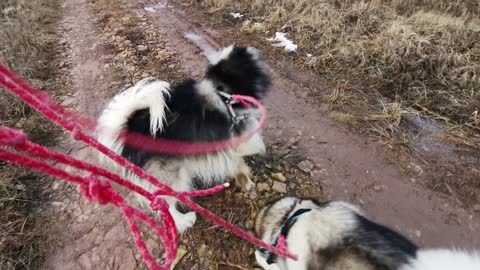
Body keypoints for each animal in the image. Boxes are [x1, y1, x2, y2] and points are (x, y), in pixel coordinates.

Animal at [96, 46, 270, 232]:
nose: (254, 50)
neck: (222, 91)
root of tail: (131, 128)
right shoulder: (238, 133)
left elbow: (236, 161)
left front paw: (243, 179)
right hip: (168, 174)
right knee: (165, 202)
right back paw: (183, 221)